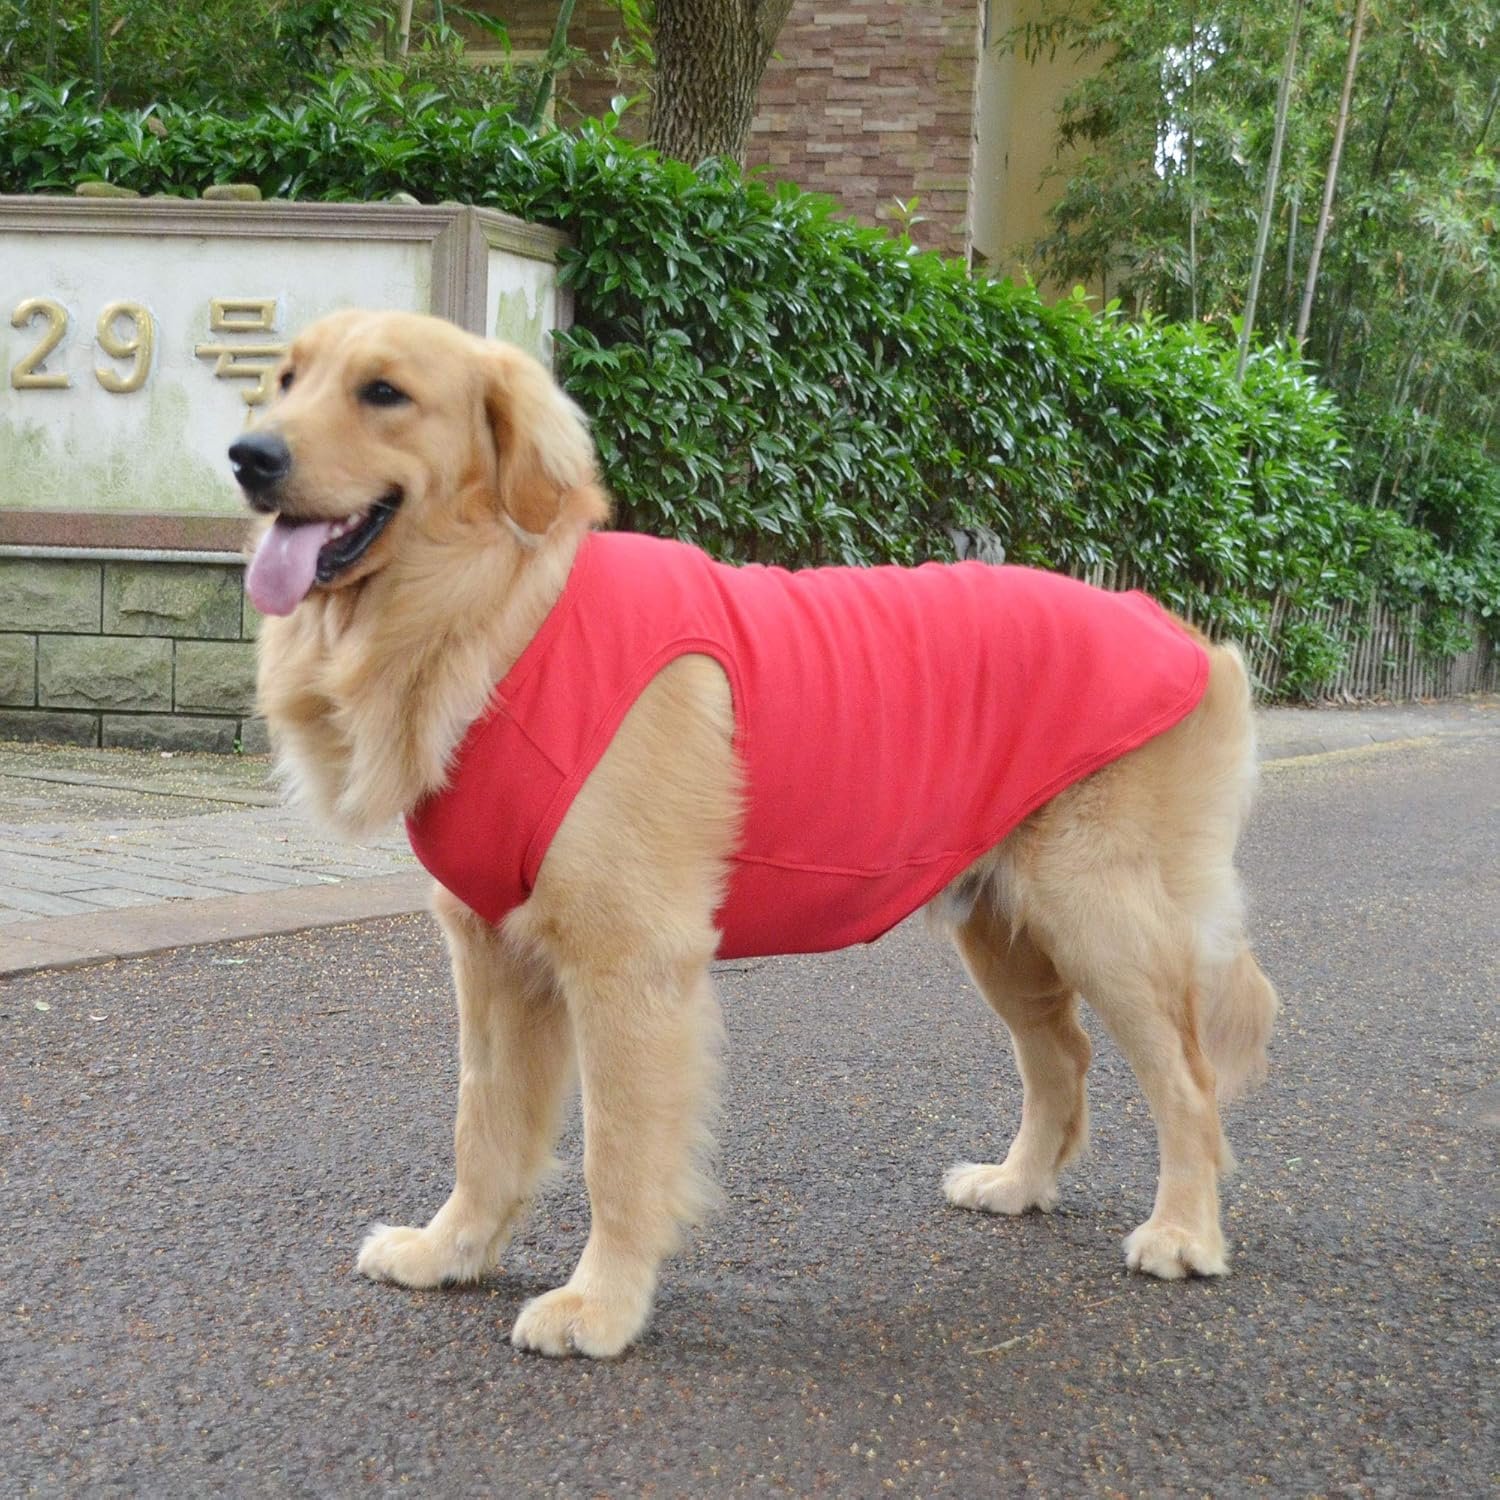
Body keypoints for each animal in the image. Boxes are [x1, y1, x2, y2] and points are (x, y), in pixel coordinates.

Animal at [229, 308, 1278, 1359]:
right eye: (285, 380)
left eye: (385, 393)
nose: (248, 456)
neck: (501, 621)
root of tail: (1186, 635)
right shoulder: (491, 953)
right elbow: (483, 1125)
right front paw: (449, 1252)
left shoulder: (629, 960)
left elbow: (618, 1152)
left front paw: (601, 1305)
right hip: (1004, 927)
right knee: (1063, 1055)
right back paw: (1018, 1184)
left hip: (1100, 914)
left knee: (1188, 1081)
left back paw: (1184, 1232)